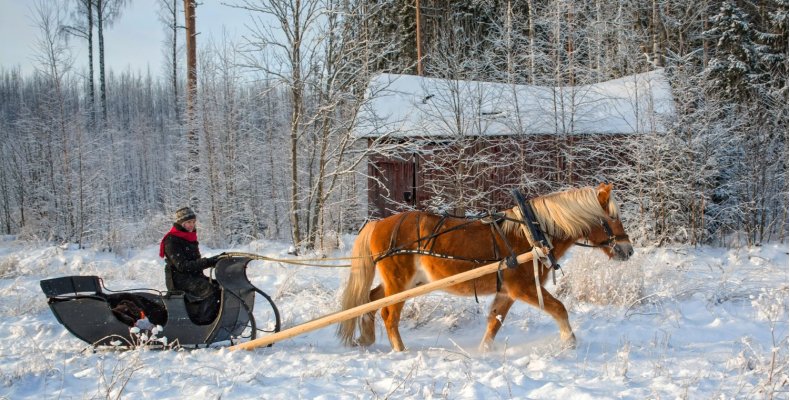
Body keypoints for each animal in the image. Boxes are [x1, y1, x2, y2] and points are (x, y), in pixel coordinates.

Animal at [338, 183, 636, 352]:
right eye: (612, 217)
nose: (628, 250)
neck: (532, 235)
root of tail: (378, 223)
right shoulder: (524, 288)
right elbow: (559, 308)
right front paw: (569, 342)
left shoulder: (506, 292)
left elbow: (494, 322)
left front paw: (483, 352)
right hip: (399, 283)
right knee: (388, 314)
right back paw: (400, 351)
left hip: (405, 283)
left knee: (370, 300)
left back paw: (366, 339)